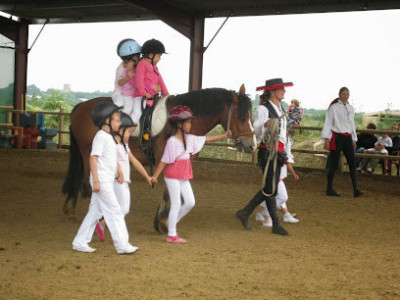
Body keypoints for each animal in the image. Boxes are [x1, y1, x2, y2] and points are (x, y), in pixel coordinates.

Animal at [62, 85, 256, 219]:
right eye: (242, 117)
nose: (252, 145)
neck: (180, 121)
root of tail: (81, 106)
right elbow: (169, 190)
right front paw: (162, 219)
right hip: (88, 152)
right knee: (84, 177)